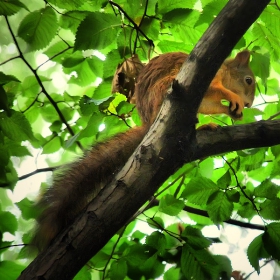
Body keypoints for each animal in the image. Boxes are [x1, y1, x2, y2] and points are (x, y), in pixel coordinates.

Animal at [32, 51, 256, 250]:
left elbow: (211, 103)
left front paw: (233, 111)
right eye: (248, 80)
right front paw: (232, 97)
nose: (248, 104)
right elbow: (215, 90)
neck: (225, 72)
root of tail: (149, 123)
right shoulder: (211, 78)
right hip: (166, 87)